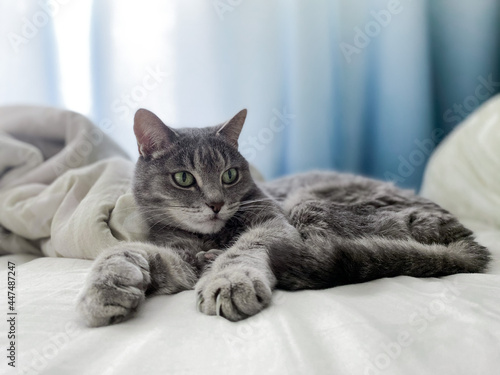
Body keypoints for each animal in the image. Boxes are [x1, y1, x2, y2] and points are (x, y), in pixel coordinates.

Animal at [76, 108, 490, 326]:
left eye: (230, 175)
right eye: (184, 179)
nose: (215, 204)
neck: (210, 237)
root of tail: (466, 238)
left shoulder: (272, 222)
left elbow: (244, 249)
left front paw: (230, 279)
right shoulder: (177, 256)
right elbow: (125, 252)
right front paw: (107, 288)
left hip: (310, 209)